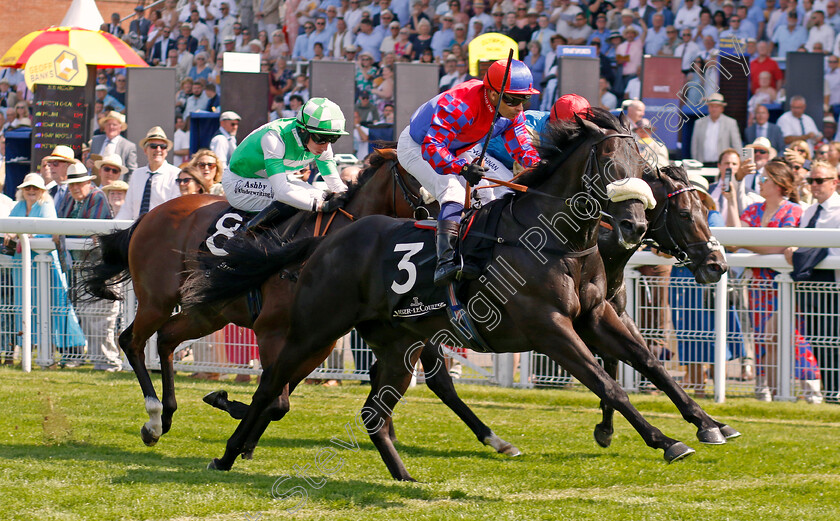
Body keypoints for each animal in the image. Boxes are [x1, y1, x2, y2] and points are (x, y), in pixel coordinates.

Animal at [79, 148, 436, 444]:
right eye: (419, 173)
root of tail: (148, 216)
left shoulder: (320, 342)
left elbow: (279, 395)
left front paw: (228, 404)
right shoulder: (271, 331)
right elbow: (277, 398)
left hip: (208, 312)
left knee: (165, 338)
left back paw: (167, 415)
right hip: (157, 300)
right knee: (132, 342)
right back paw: (153, 419)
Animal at [182, 109, 736, 480]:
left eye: (641, 168)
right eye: (608, 163)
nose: (716, 264)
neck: (561, 240)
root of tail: (329, 237)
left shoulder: (598, 315)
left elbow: (650, 364)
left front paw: (709, 424)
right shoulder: (549, 328)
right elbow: (610, 383)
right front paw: (665, 440)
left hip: (395, 343)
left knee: (372, 409)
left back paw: (408, 474)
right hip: (314, 329)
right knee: (270, 385)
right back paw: (227, 450)